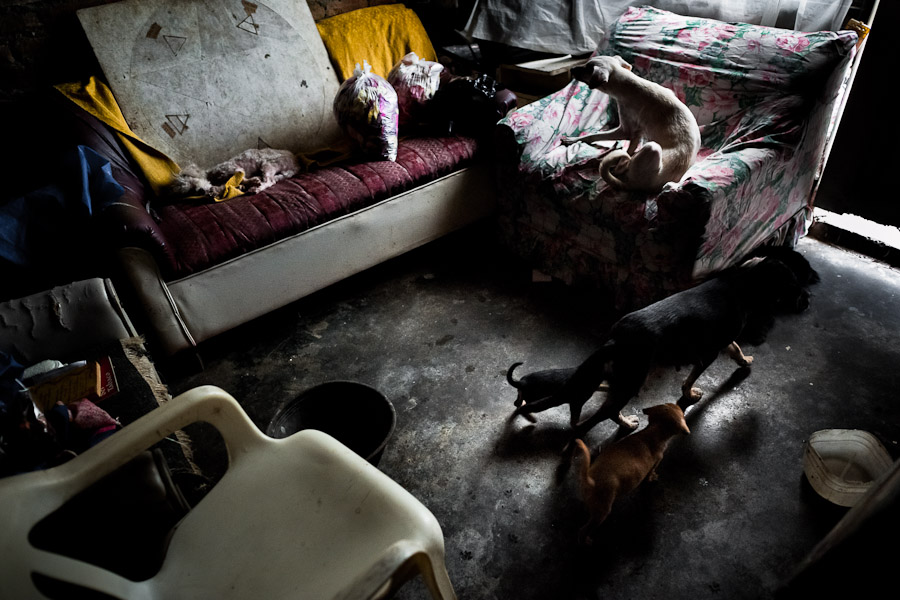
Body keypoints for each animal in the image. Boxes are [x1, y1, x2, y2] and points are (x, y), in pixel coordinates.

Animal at [512, 246, 816, 434]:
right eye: (792, 282)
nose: (808, 300)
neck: (743, 283)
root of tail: (615, 341)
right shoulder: (707, 354)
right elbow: (691, 380)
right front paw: (690, 394)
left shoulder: (721, 342)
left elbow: (736, 348)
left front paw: (744, 360)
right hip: (632, 381)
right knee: (604, 414)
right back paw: (625, 425)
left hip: (620, 381)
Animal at [576, 404, 688, 544]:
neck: (653, 431)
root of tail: (589, 478)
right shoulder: (657, 461)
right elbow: (650, 474)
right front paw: (653, 477)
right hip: (602, 512)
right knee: (583, 530)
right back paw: (587, 540)